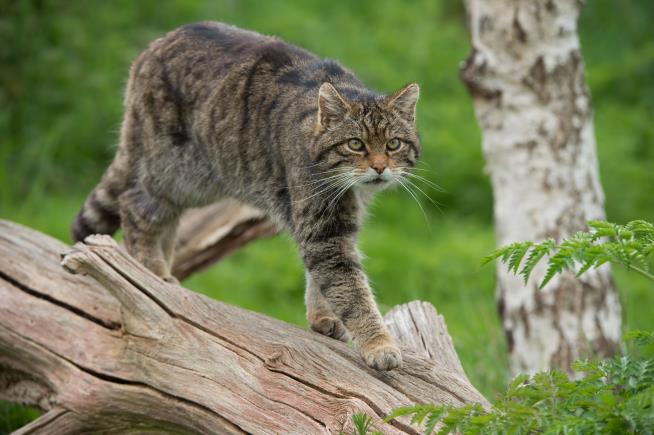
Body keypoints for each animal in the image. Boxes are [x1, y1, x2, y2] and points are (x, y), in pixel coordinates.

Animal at [73, 21, 420, 372]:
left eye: (393, 144)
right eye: (355, 145)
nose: (379, 167)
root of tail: (153, 47)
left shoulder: (333, 228)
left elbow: (322, 279)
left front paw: (323, 317)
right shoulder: (322, 229)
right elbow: (350, 289)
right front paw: (379, 344)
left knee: (164, 220)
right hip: (176, 172)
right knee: (135, 206)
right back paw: (150, 271)